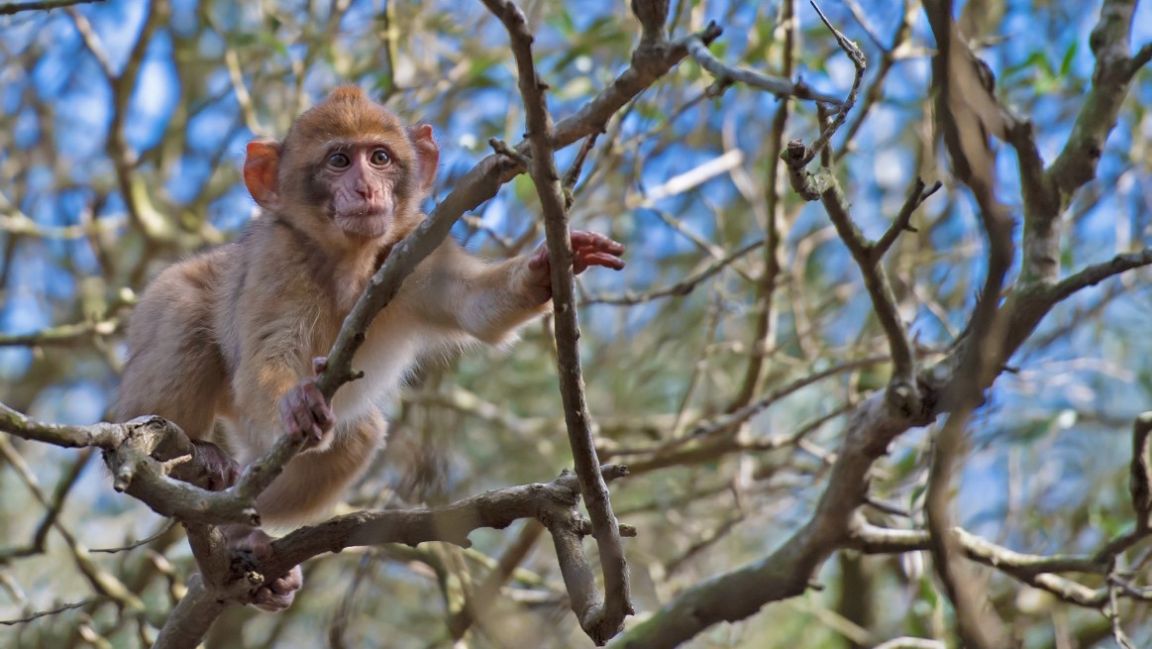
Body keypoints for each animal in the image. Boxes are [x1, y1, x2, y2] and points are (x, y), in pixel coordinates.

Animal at [112, 87, 626, 613]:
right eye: (338, 161)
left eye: (379, 158)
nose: (364, 190)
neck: (351, 261)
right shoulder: (278, 257)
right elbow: (265, 357)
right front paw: (295, 402)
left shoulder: (413, 245)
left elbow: (475, 307)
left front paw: (545, 268)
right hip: (170, 313)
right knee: (184, 328)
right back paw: (199, 458)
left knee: (356, 436)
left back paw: (238, 531)